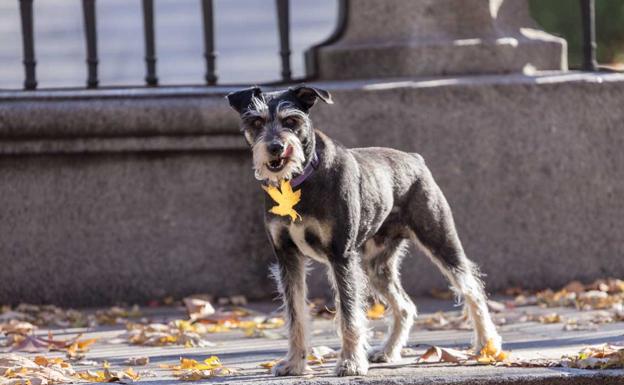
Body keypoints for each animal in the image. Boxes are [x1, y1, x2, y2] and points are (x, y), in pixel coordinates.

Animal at [227, 84, 504, 376]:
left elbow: (349, 316)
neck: (299, 182)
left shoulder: (341, 257)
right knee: (405, 306)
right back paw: (387, 351)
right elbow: (296, 317)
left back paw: (487, 345)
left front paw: (350, 362)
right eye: (256, 122)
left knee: (472, 289)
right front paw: (294, 362)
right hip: (376, 266)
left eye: (291, 120)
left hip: (440, 240)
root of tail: (415, 159)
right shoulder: (287, 258)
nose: (276, 147)